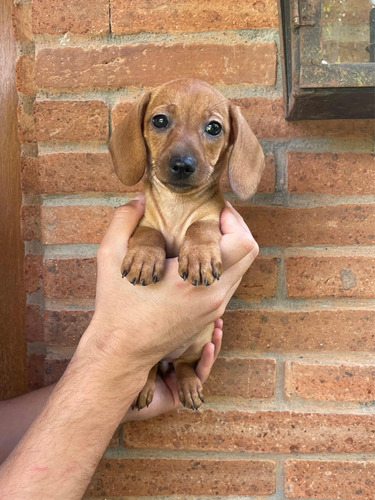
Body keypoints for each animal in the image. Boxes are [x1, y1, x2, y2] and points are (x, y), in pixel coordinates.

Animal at [108, 77, 264, 406]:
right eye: (159, 120)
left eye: (214, 128)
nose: (182, 164)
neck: (177, 205)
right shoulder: (144, 222)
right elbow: (149, 233)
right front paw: (143, 259)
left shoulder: (212, 218)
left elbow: (200, 228)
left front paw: (199, 257)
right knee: (150, 367)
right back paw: (144, 387)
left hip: (198, 343)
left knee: (182, 365)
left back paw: (189, 384)